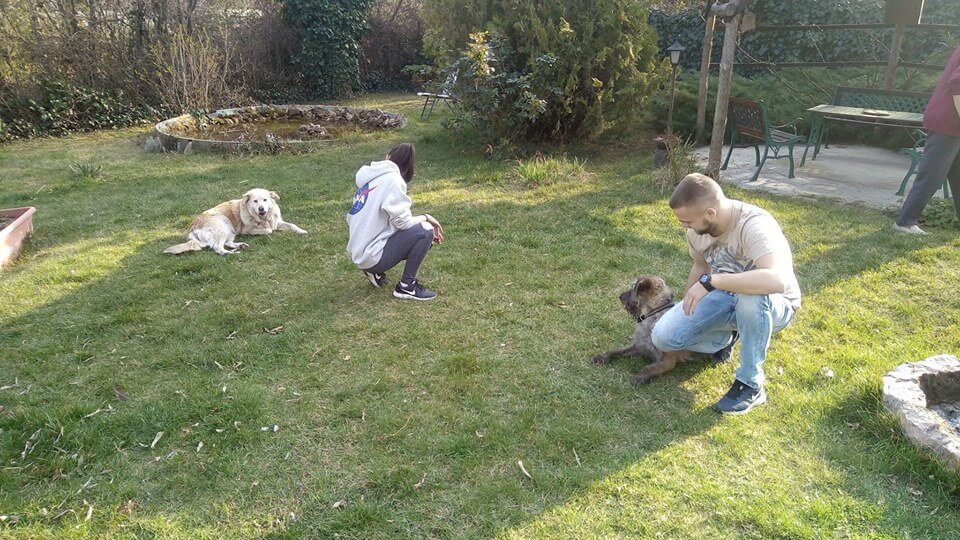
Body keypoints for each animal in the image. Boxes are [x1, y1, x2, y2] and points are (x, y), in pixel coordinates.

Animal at [164, 188, 307, 255]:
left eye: (265, 200)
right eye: (255, 201)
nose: (261, 209)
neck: (261, 218)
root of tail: (192, 227)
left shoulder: (277, 222)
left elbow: (292, 225)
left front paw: (302, 231)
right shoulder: (247, 229)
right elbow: (268, 230)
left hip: (229, 230)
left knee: (226, 243)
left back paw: (240, 246)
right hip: (223, 225)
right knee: (217, 247)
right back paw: (232, 253)